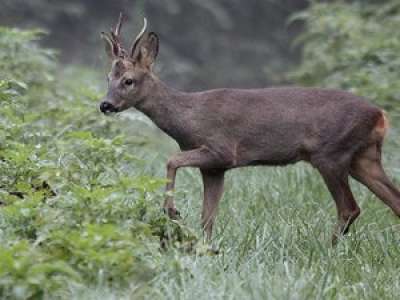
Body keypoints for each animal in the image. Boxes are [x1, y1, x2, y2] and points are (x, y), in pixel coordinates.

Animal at [99, 13, 400, 246]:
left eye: (128, 80)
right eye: (108, 77)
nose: (105, 105)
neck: (189, 117)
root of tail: (381, 115)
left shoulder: (221, 150)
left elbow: (171, 159)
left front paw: (171, 211)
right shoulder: (214, 168)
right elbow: (208, 216)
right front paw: (204, 248)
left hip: (330, 153)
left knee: (349, 208)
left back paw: (329, 249)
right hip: (363, 156)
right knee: (394, 200)